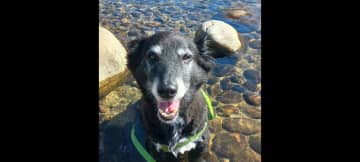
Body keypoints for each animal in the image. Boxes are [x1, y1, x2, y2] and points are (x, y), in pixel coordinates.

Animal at [100, 31, 228, 162]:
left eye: (186, 57)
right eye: (151, 56)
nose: (167, 91)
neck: (174, 124)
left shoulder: (201, 145)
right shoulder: (157, 149)